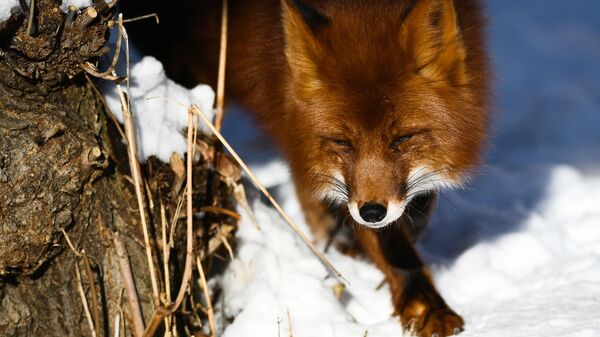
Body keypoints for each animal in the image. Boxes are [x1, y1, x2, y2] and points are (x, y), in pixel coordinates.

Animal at [124, 0, 490, 334]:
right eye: (343, 143)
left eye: (402, 139)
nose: (372, 212)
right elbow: (388, 241)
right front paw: (422, 301)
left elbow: (416, 211)